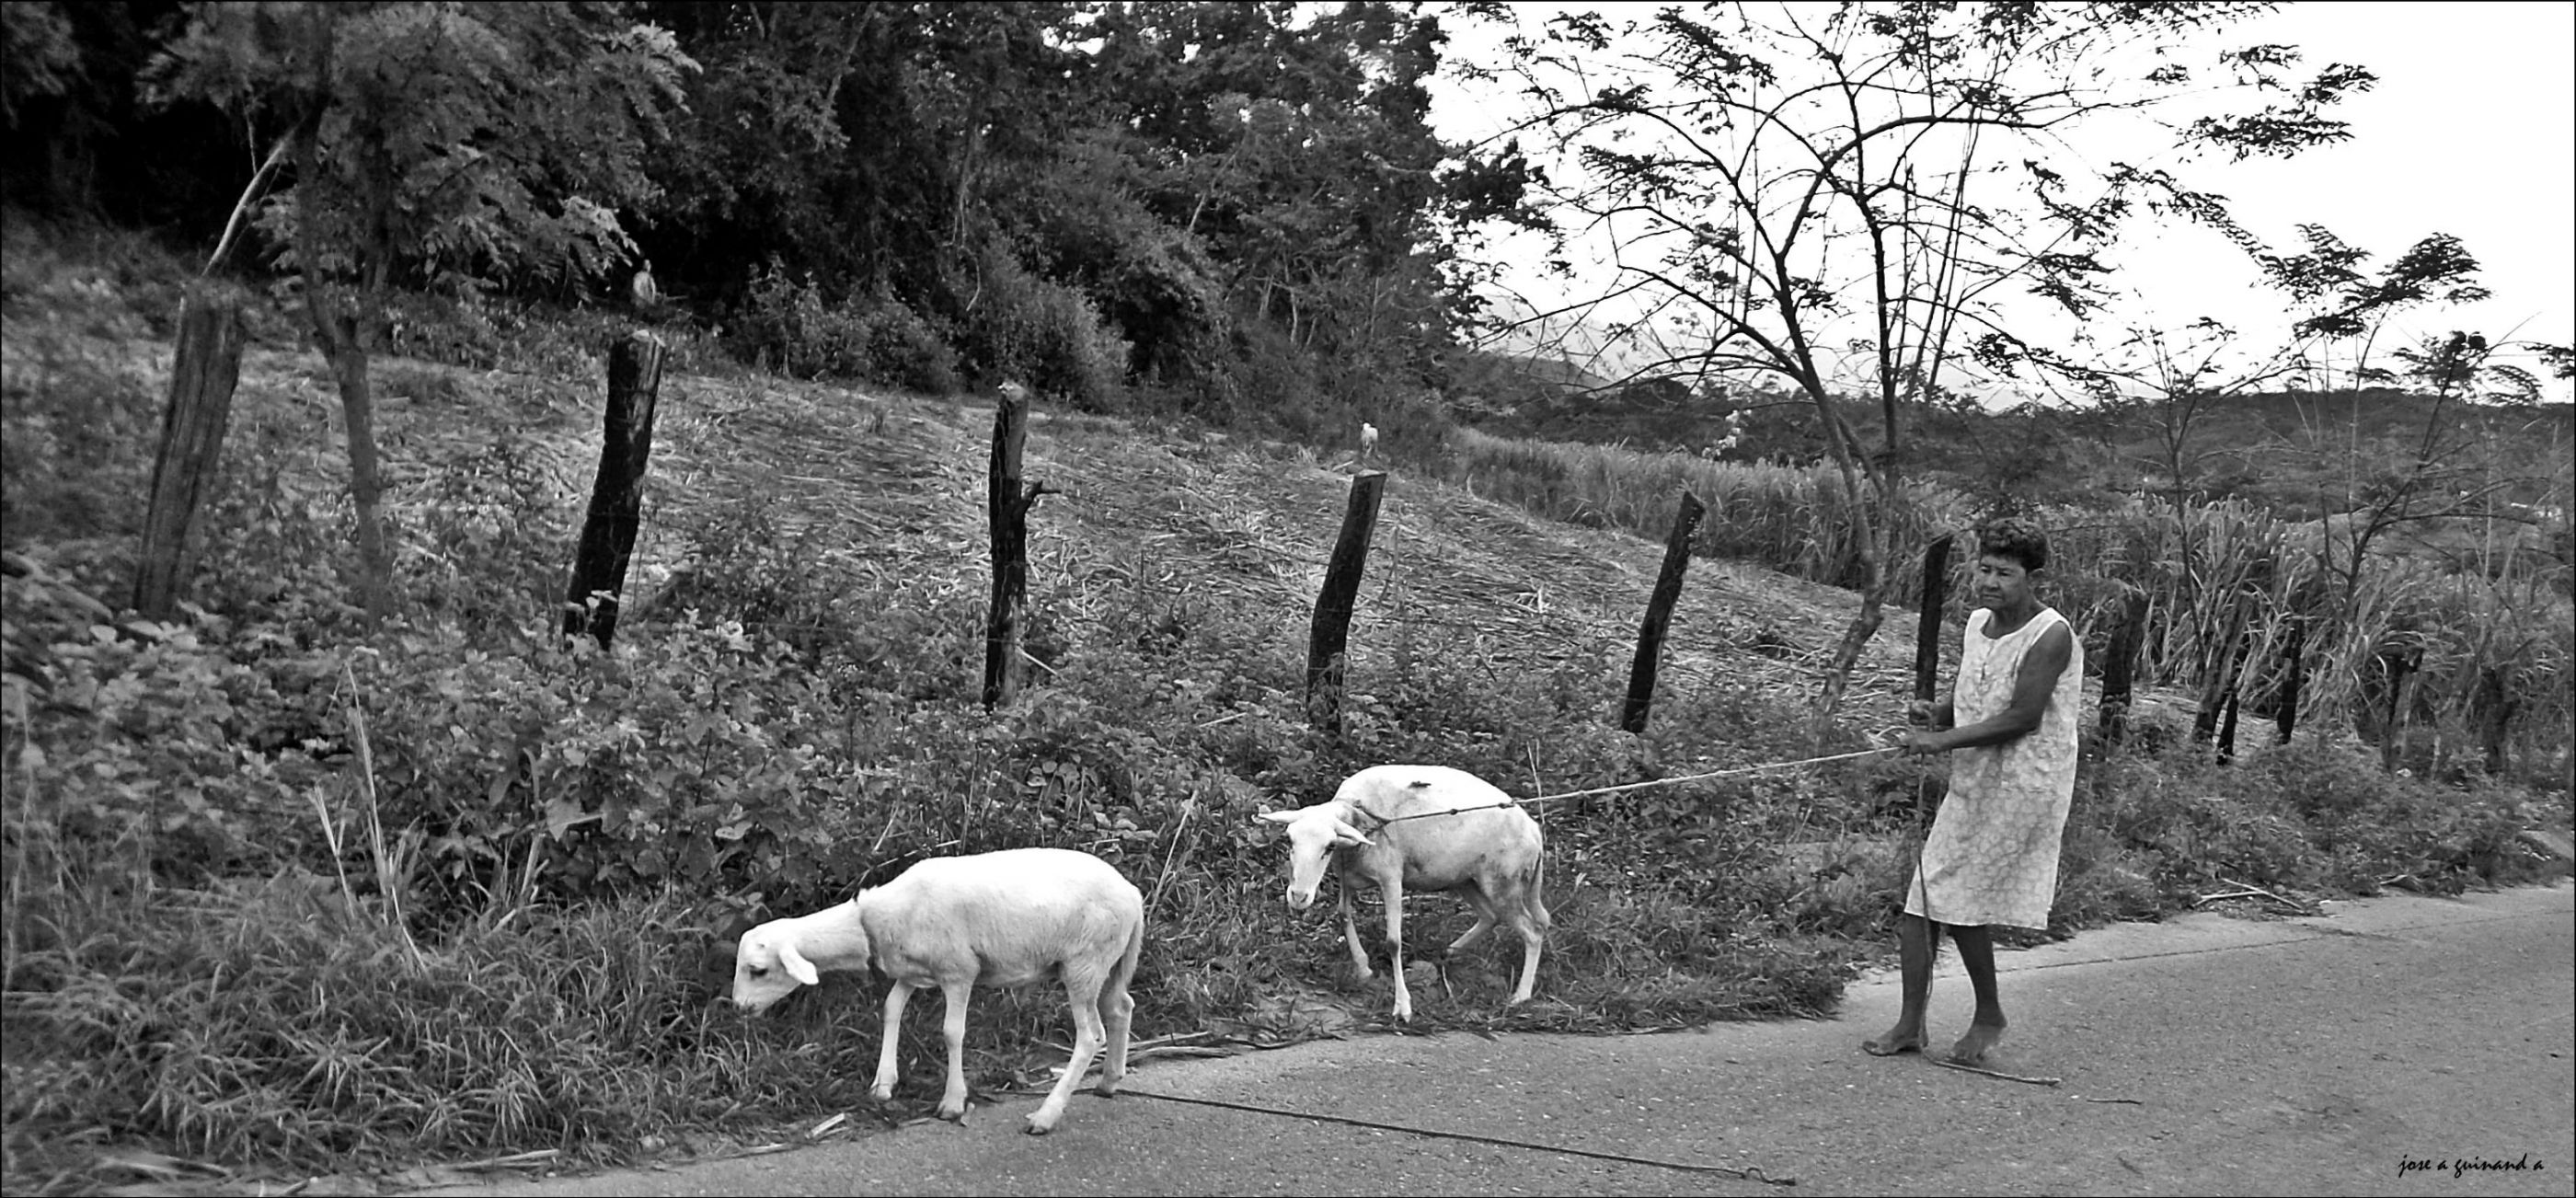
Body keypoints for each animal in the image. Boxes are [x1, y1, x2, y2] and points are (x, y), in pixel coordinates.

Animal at [726, 845, 1138, 1134]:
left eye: (758, 970)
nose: (740, 1007)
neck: (870, 924)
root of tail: (1133, 894)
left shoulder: (959, 970)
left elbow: (952, 1032)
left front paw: (953, 1103)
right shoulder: (910, 972)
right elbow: (891, 1009)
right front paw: (883, 1084)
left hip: (1084, 962)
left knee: (1090, 1035)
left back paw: (1046, 1115)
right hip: (1108, 962)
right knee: (1122, 1007)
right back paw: (1108, 1081)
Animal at [1251, 767, 1535, 1019]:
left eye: (1329, 846)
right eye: (1290, 841)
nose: (1298, 897)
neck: (1360, 814)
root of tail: (1533, 829)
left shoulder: (1391, 879)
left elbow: (1393, 941)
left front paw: (1403, 1005)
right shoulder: (1347, 877)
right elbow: (1343, 914)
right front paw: (1363, 968)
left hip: (1504, 883)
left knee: (1534, 932)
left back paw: (1521, 995)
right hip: (1466, 879)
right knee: (1490, 917)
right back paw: (1450, 952)